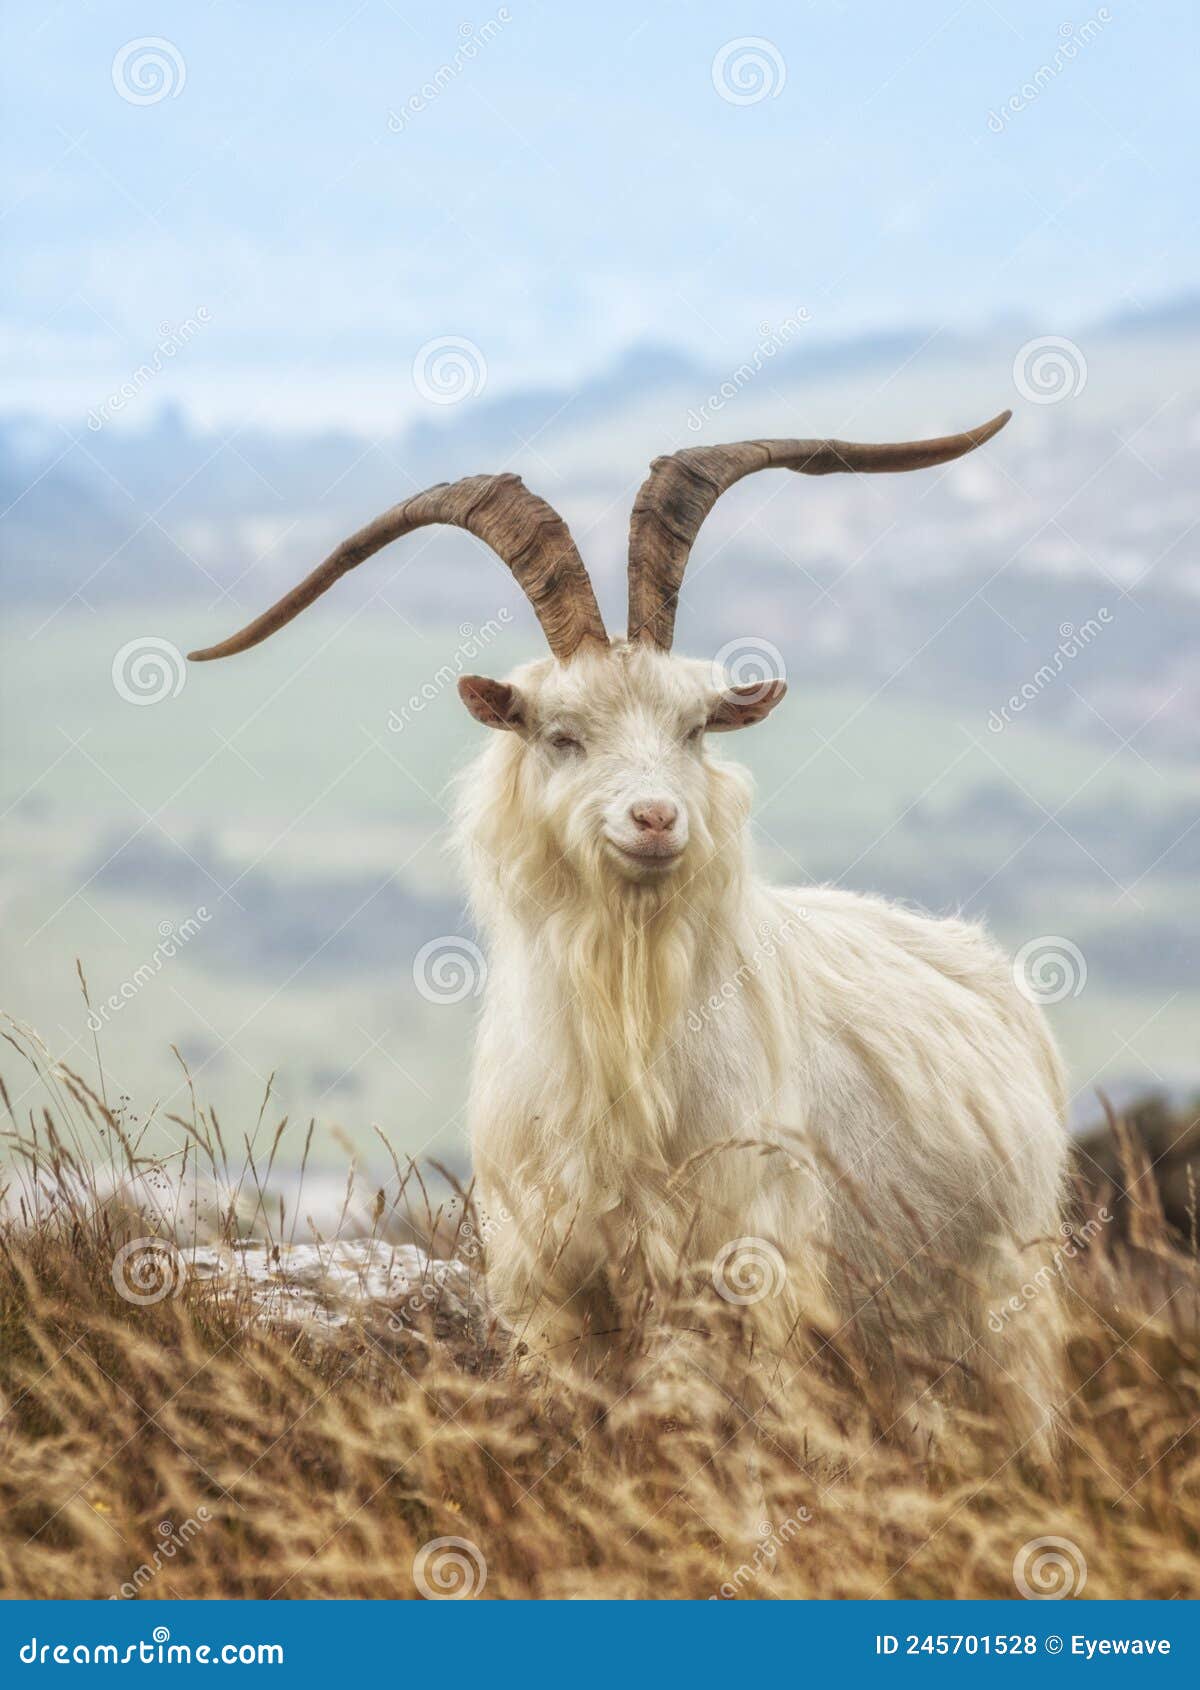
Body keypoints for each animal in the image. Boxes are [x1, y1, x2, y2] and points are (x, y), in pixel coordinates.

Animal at [191, 410, 1068, 1454]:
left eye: (696, 729)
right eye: (560, 734)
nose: (655, 819)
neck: (629, 1040)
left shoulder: (745, 1274)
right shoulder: (554, 1289)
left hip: (998, 1311)